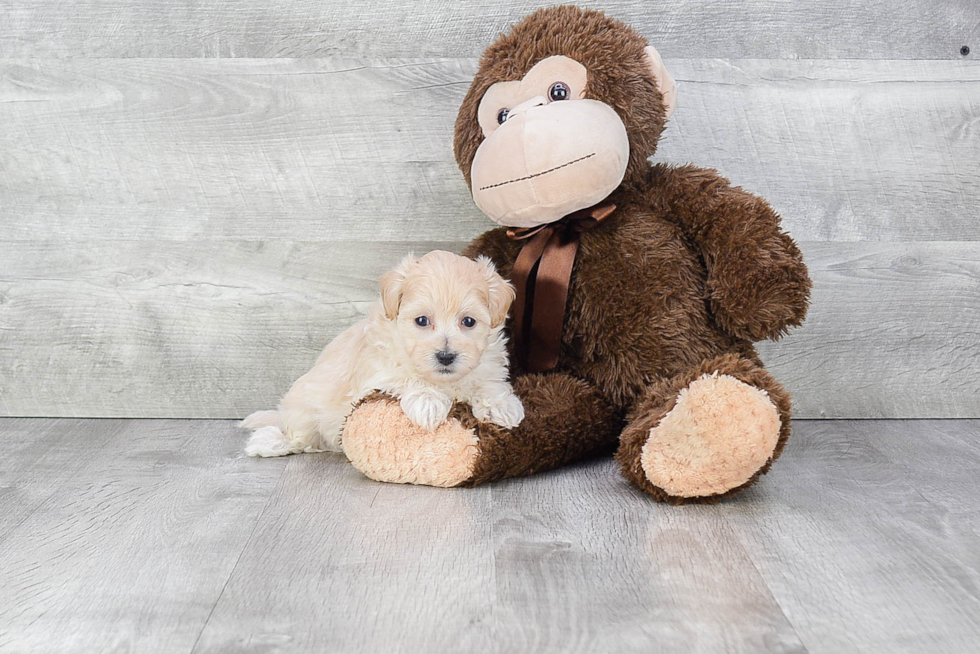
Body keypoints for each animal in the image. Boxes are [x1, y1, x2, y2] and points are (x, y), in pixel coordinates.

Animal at [241, 250, 524, 456]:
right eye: (422, 321)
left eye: (469, 322)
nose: (446, 357)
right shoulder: (377, 373)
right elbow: (406, 377)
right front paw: (428, 401)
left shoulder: (488, 361)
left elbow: (487, 381)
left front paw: (501, 406)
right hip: (304, 412)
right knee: (300, 438)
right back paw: (269, 441)